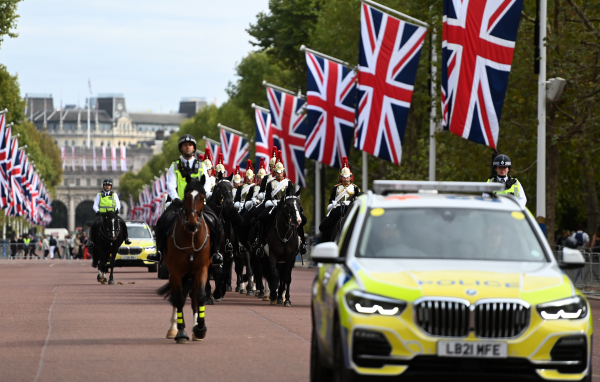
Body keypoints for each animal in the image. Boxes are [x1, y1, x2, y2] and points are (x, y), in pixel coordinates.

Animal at [157, 176, 211, 344]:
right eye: (186, 197)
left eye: (203, 197)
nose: (192, 224)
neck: (191, 236)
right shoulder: (175, 270)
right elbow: (179, 299)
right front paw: (181, 332)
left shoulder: (202, 268)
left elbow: (200, 296)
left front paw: (200, 329)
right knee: (176, 296)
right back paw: (173, 329)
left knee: (193, 298)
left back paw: (195, 329)